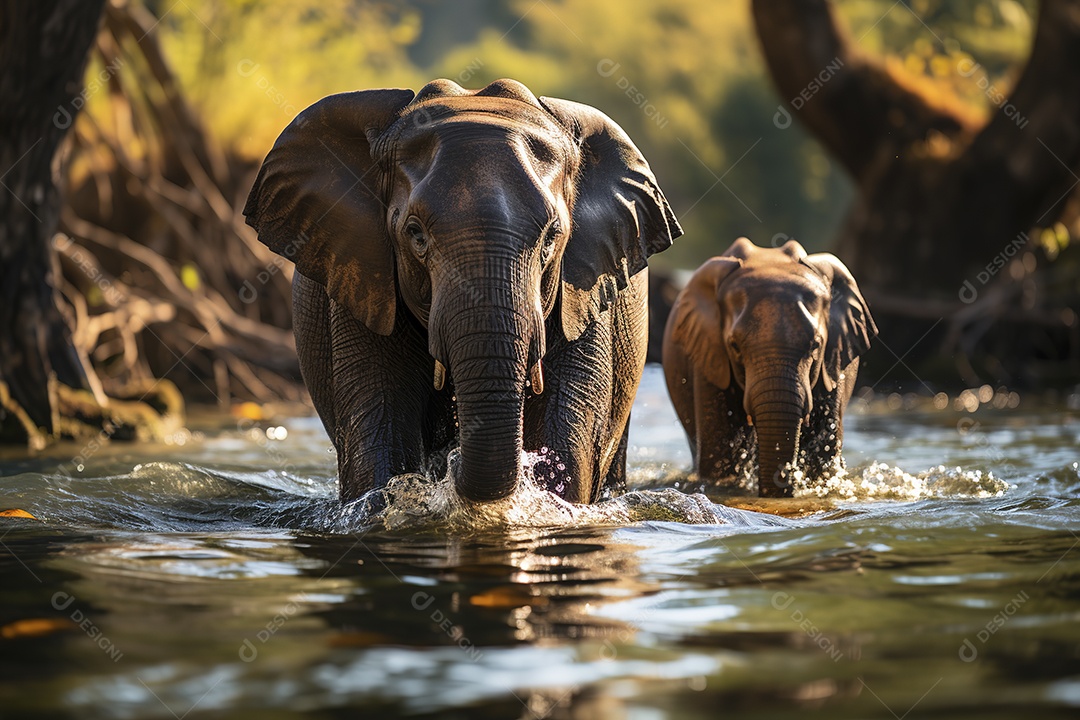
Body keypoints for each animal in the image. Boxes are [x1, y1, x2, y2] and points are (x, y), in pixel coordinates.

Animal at [244, 78, 682, 504]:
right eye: (415, 234)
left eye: (552, 237)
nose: (450, 462)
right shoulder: (358, 278)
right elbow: (380, 423)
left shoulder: (584, 288)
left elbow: (568, 435)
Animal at [662, 238, 876, 497]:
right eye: (734, 346)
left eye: (815, 345)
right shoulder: (709, 361)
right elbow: (720, 456)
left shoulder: (832, 364)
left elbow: (823, 452)